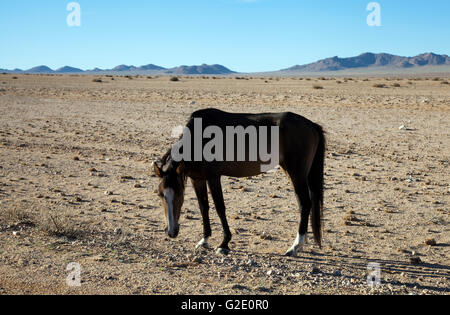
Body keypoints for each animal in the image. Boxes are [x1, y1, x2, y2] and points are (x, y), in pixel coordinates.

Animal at [153, 108, 326, 256]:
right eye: (161, 195)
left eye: (178, 194)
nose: (171, 232)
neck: (199, 137)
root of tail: (312, 125)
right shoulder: (198, 179)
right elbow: (203, 207)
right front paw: (204, 240)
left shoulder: (213, 177)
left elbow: (220, 208)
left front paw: (224, 243)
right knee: (304, 204)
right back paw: (302, 242)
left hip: (296, 174)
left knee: (305, 203)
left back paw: (295, 246)